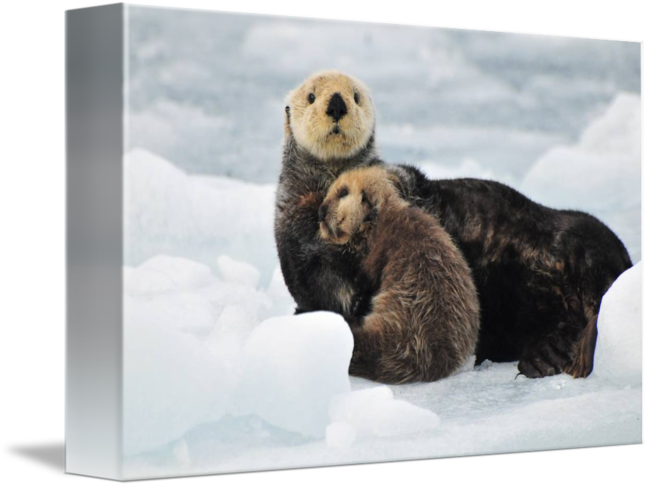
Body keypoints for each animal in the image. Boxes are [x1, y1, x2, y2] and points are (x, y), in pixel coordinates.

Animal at [319, 166, 480, 384]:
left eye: (343, 193)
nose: (321, 210)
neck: (379, 220)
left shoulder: (376, 252)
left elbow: (366, 276)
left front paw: (357, 299)